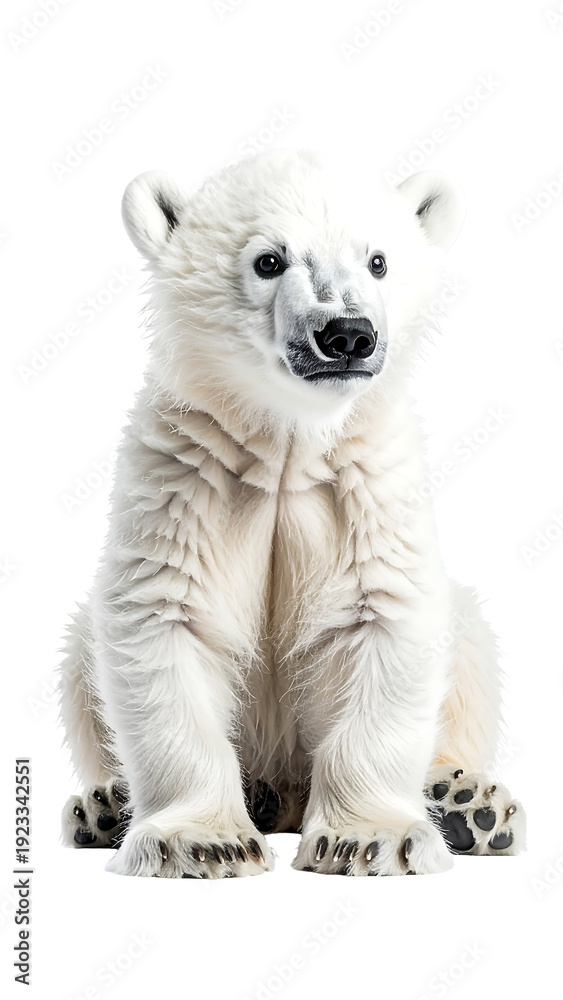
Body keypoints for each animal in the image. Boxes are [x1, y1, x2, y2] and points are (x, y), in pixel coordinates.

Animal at [58, 148, 525, 877]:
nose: (347, 334)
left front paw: (369, 838)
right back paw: (111, 806)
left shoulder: (362, 488)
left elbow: (383, 615)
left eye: (378, 261)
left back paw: (465, 805)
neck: (285, 448)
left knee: (471, 645)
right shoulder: (187, 477)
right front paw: (203, 842)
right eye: (269, 260)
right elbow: (164, 617)